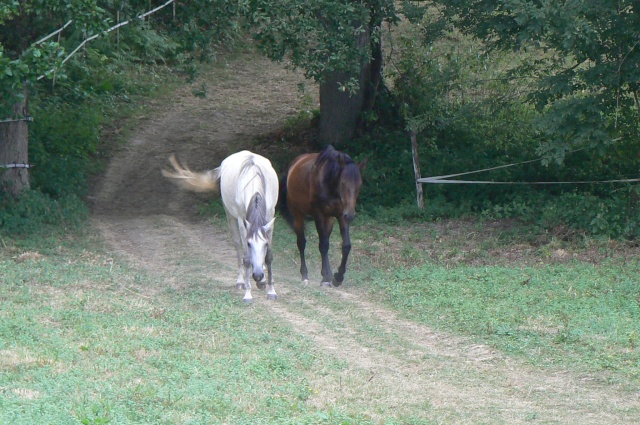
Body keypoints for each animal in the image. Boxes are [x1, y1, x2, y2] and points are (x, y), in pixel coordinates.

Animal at [162, 149, 278, 302]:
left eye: (264, 244)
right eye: (249, 244)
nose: (258, 275)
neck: (254, 180)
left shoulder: (270, 218)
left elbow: (269, 256)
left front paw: (271, 290)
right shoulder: (242, 221)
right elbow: (246, 257)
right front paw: (248, 294)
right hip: (230, 215)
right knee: (237, 246)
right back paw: (242, 281)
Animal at [280, 144, 364, 286]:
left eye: (359, 185)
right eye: (342, 183)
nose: (351, 215)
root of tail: (293, 165)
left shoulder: (341, 216)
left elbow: (345, 246)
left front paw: (338, 277)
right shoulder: (318, 214)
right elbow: (323, 245)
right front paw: (325, 278)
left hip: (329, 218)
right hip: (298, 214)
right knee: (302, 243)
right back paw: (305, 275)